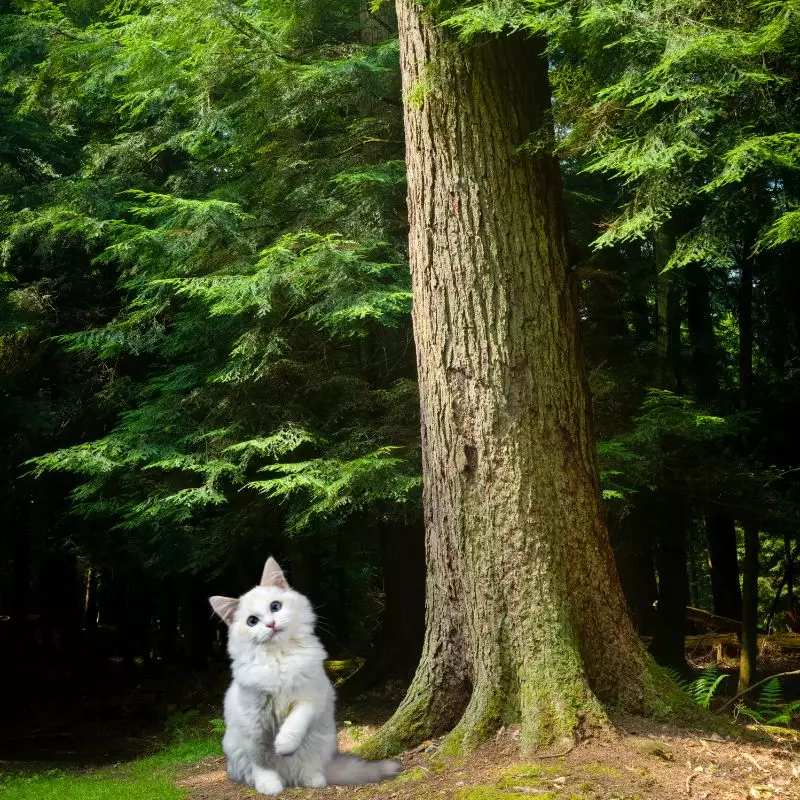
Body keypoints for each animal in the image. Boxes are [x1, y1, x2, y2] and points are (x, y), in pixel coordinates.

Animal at [209, 556, 404, 792]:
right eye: (252, 621)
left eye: (275, 606)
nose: (271, 624)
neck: (280, 658)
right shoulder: (255, 720)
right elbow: (262, 760)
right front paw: (269, 786)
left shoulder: (310, 698)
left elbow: (295, 723)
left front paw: (283, 745)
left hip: (320, 742)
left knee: (312, 769)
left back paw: (313, 780)